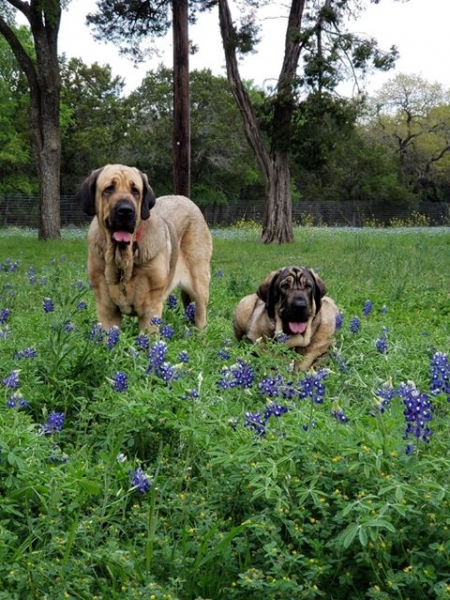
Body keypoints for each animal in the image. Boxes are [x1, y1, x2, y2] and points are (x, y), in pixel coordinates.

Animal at [75, 164, 213, 330]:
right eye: (109, 188)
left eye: (135, 190)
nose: (126, 210)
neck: (122, 259)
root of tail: (186, 200)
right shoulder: (106, 309)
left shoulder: (150, 308)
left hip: (199, 285)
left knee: (200, 317)